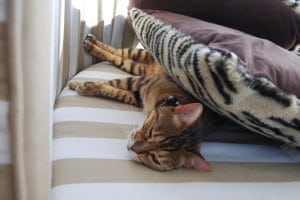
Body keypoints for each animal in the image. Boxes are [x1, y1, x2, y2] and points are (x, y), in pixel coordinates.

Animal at [68, 33, 225, 171]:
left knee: (120, 59)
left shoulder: (137, 95)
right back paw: (91, 44)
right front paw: (81, 85)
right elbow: (114, 82)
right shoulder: (142, 81)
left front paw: (86, 86)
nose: (132, 147)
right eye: (150, 132)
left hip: (138, 68)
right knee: (118, 52)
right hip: (142, 55)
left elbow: (117, 91)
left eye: (154, 158)